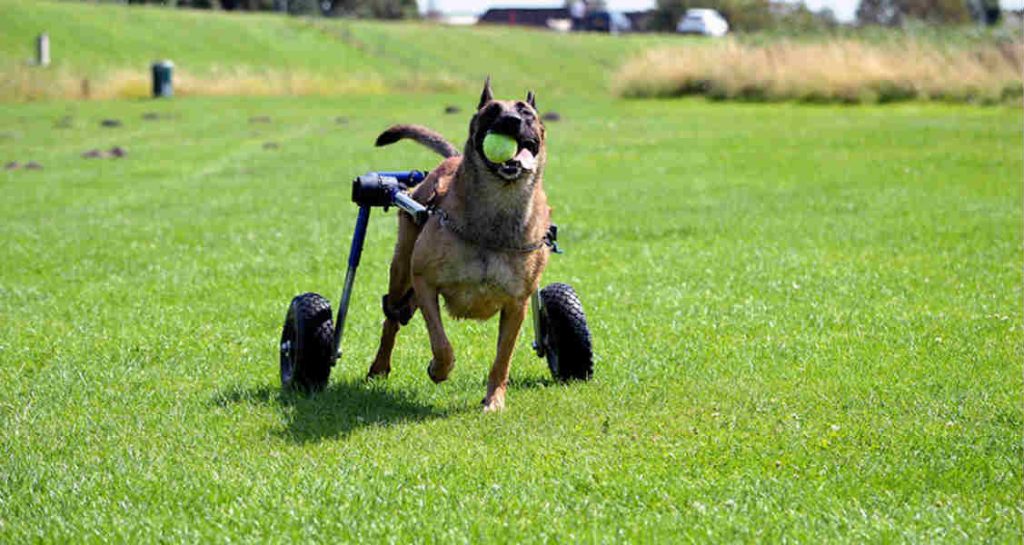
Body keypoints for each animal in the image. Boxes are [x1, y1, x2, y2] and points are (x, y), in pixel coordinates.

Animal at [364, 78, 548, 411]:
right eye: (492, 111)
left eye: (525, 112)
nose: (511, 121)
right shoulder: (425, 282)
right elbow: (442, 344)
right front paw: (438, 370)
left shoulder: (518, 303)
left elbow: (503, 359)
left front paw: (494, 400)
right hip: (401, 268)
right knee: (392, 316)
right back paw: (379, 366)